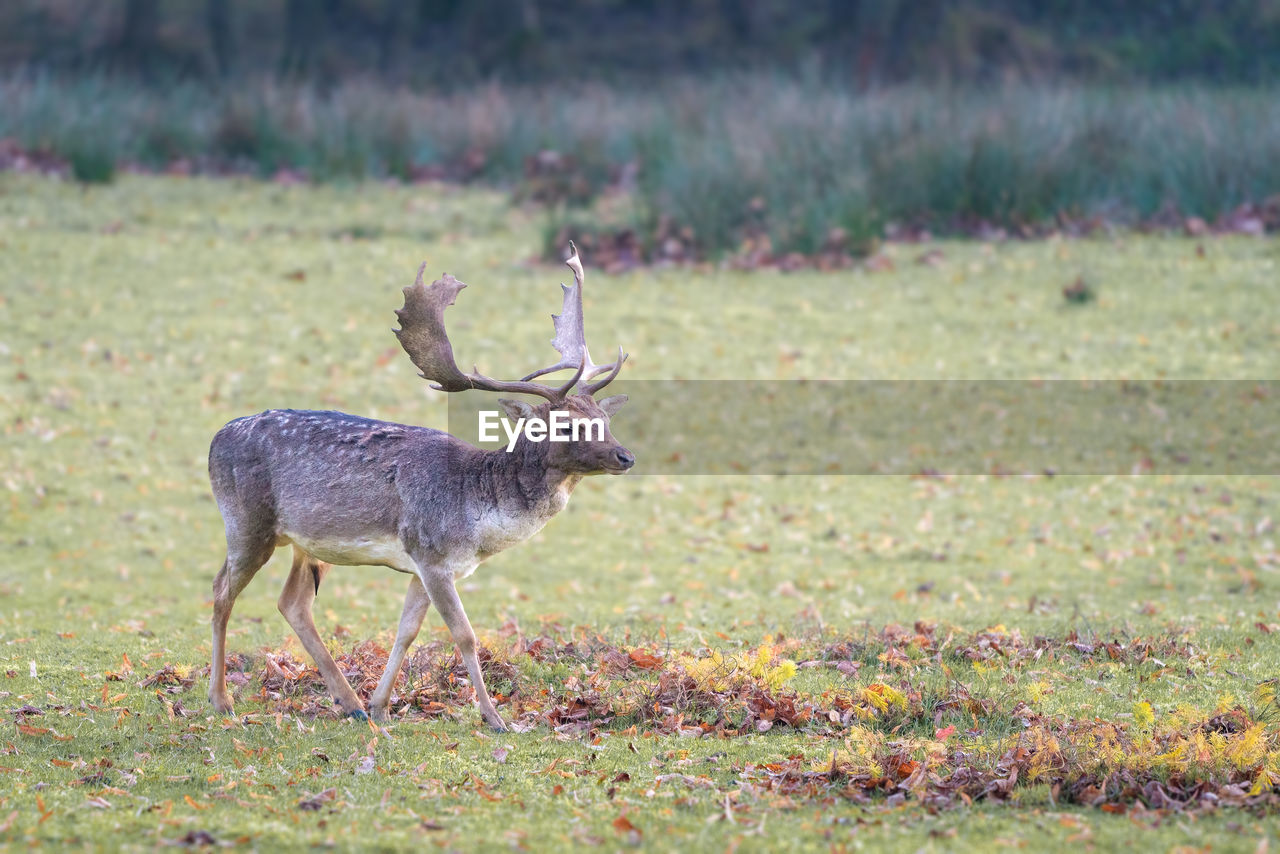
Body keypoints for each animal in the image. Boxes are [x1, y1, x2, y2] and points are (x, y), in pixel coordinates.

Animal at [204, 243, 629, 732]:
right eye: (565, 425)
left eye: (605, 418)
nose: (626, 456)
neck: (477, 519)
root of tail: (215, 438)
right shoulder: (432, 553)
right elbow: (464, 635)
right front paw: (495, 718)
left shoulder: (422, 565)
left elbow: (406, 631)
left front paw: (380, 706)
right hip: (246, 521)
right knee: (221, 590)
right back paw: (221, 700)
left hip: (305, 543)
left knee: (292, 602)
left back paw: (350, 703)